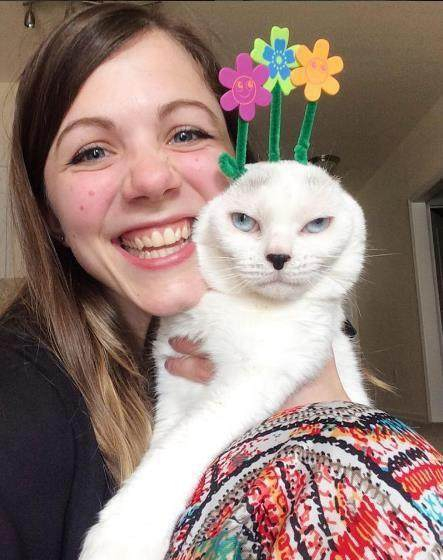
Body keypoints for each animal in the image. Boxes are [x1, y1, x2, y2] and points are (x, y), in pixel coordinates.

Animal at [80, 160, 369, 560]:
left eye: (316, 225)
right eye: (244, 221)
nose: (278, 256)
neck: (237, 306)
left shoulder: (251, 381)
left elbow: (179, 448)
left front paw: (122, 535)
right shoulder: (173, 382)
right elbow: (163, 441)